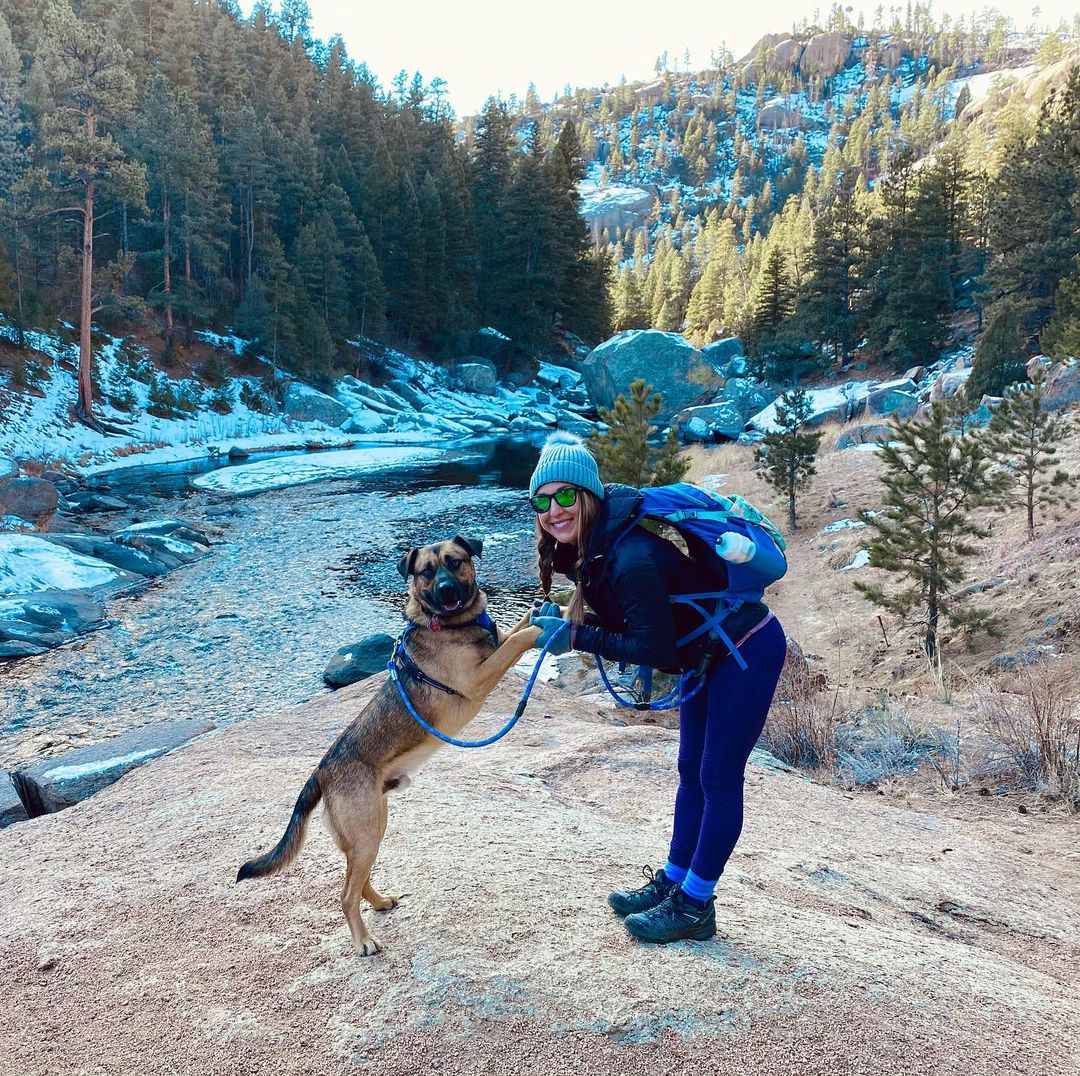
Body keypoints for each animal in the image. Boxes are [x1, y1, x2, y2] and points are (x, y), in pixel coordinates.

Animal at [236, 533, 540, 955]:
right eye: (425, 572)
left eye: (456, 561)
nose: (446, 591)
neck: (449, 622)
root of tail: (322, 771)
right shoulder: (477, 678)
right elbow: (519, 640)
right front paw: (555, 624)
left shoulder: (494, 647)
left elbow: (516, 628)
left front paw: (548, 609)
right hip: (366, 832)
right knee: (345, 893)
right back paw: (363, 941)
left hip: (371, 829)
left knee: (357, 880)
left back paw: (379, 902)